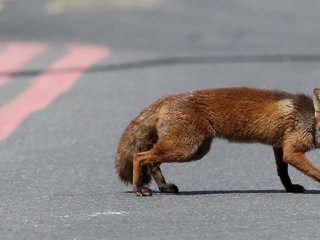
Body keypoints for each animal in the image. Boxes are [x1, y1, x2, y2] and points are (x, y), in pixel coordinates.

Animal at [115, 87, 320, 196]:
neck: (309, 119)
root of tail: (168, 98)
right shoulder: (292, 151)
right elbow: (315, 172)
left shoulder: (280, 146)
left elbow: (282, 173)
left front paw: (290, 188)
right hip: (186, 148)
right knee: (139, 156)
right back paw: (139, 188)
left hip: (194, 150)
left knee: (152, 160)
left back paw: (163, 187)